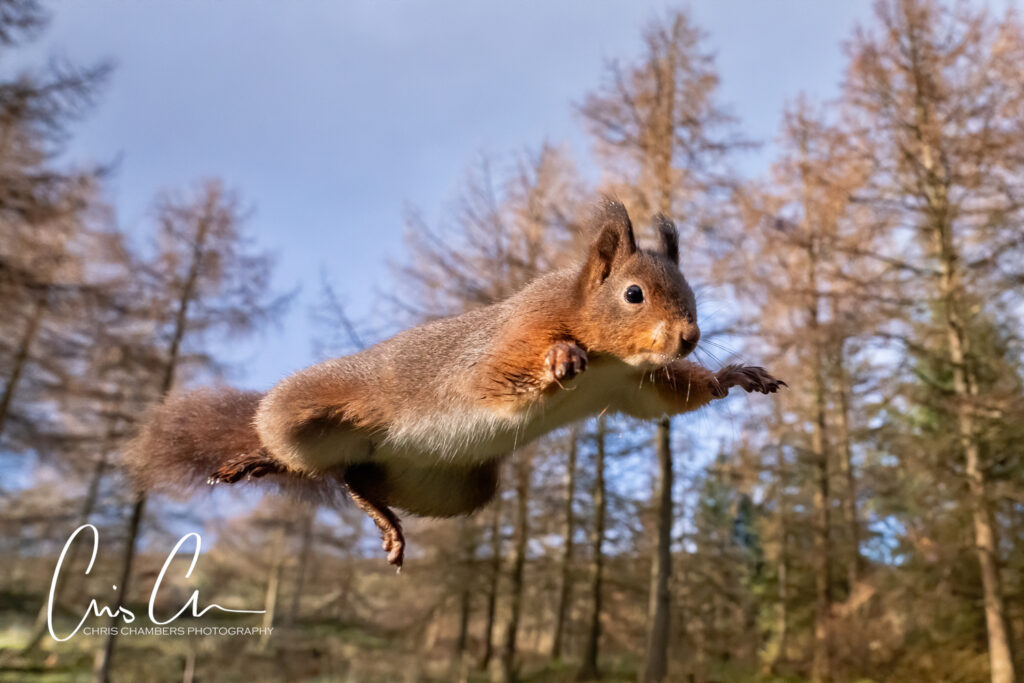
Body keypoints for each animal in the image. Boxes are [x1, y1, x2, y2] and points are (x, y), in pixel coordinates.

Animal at [126, 199, 785, 569]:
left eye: (691, 293)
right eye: (633, 294)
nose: (689, 337)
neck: (610, 358)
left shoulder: (630, 386)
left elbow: (663, 399)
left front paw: (732, 375)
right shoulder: (508, 341)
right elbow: (501, 374)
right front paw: (561, 357)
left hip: (452, 488)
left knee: (353, 478)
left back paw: (381, 517)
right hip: (305, 410)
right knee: (297, 455)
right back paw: (255, 461)